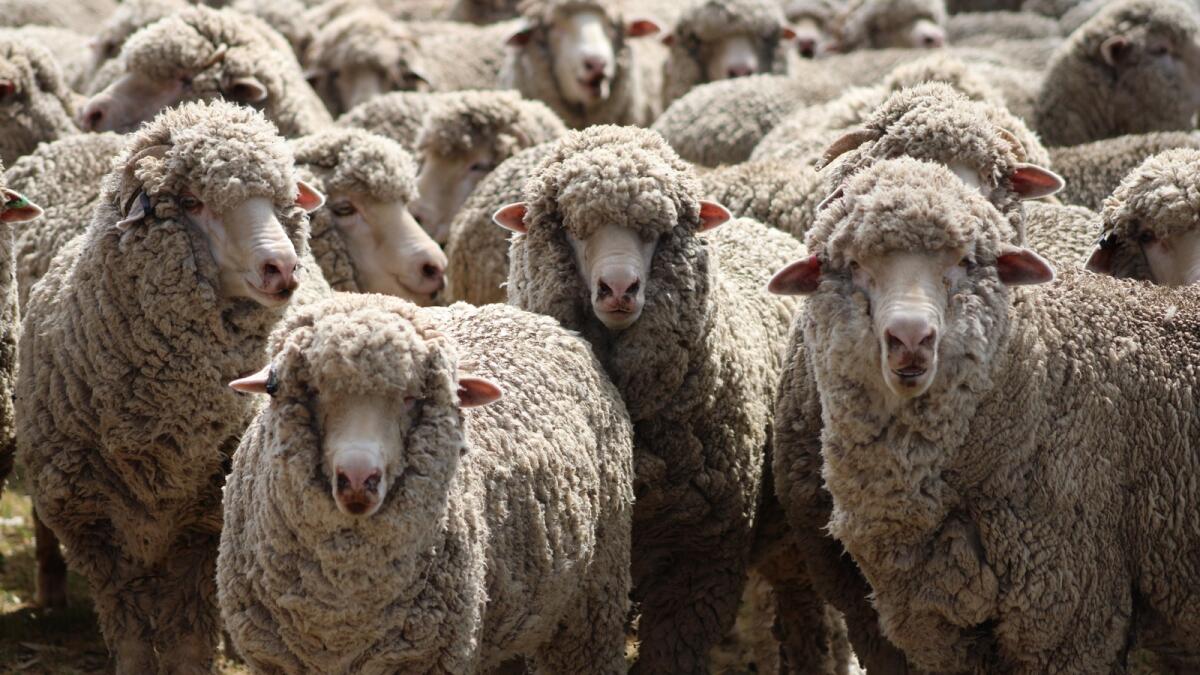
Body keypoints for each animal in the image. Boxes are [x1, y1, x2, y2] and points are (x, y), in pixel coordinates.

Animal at [16, 100, 327, 673]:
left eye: (281, 202)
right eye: (190, 201)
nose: (282, 268)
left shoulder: (203, 524)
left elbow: (187, 638)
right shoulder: (96, 529)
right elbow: (132, 637)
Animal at [217, 295, 635, 674]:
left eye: (410, 397)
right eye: (307, 390)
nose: (358, 479)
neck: (342, 609)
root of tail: (531, 316)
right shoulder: (274, 660)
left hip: (592, 601)